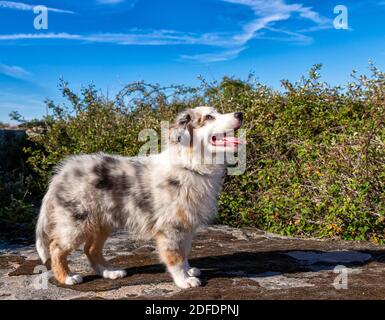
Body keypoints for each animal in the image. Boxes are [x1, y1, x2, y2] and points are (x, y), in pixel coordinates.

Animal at [36, 106, 246, 288]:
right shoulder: (170, 227)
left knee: (91, 249)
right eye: (209, 117)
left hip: (102, 221)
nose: (240, 113)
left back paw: (109, 272)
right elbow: (175, 256)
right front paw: (184, 280)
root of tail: (61, 173)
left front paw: (189, 271)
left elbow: (185, 252)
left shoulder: (187, 225)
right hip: (76, 222)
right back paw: (67, 277)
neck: (192, 165)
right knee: (56, 247)